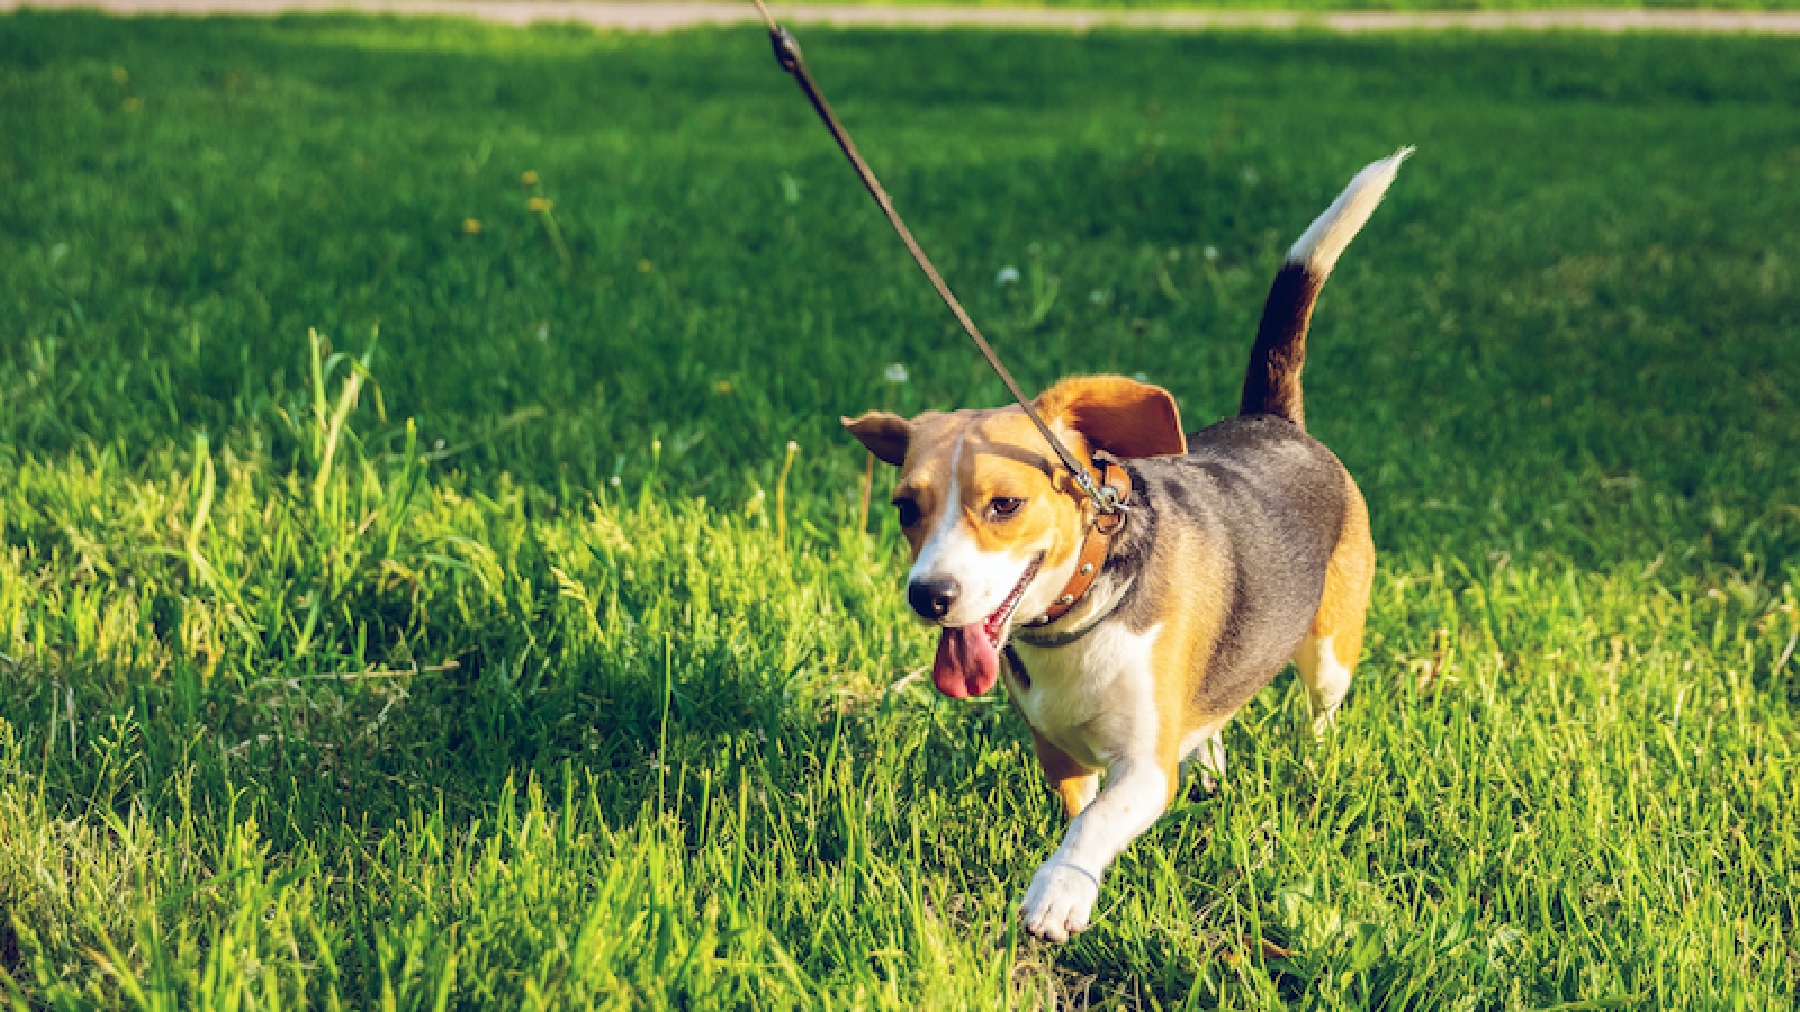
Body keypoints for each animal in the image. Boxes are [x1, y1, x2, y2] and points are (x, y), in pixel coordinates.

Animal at [838, 147, 1404, 936]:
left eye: (1005, 504)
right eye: (904, 509)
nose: (929, 596)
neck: (1078, 613)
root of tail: (1272, 419)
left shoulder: (1143, 765)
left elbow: (1097, 823)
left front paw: (1058, 891)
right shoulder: (1058, 750)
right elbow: (1079, 807)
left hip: (1330, 650)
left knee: (1319, 710)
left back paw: (1314, 762)